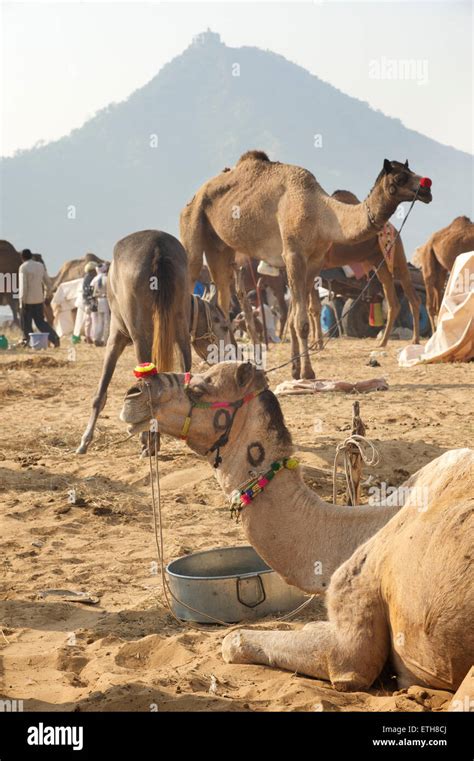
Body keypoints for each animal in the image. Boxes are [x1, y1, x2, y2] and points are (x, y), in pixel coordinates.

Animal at [77, 226, 233, 452]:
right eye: (225, 326)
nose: (232, 357)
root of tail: (158, 247)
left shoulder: (115, 337)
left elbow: (101, 392)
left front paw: (86, 440)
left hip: (140, 337)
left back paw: (149, 443)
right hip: (179, 332)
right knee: (185, 372)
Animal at [308, 190, 422, 348]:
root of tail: (392, 228)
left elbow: (314, 307)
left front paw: (317, 344)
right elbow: (310, 308)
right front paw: (313, 343)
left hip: (397, 258)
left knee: (413, 298)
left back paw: (415, 339)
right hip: (381, 264)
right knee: (394, 303)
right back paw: (382, 342)